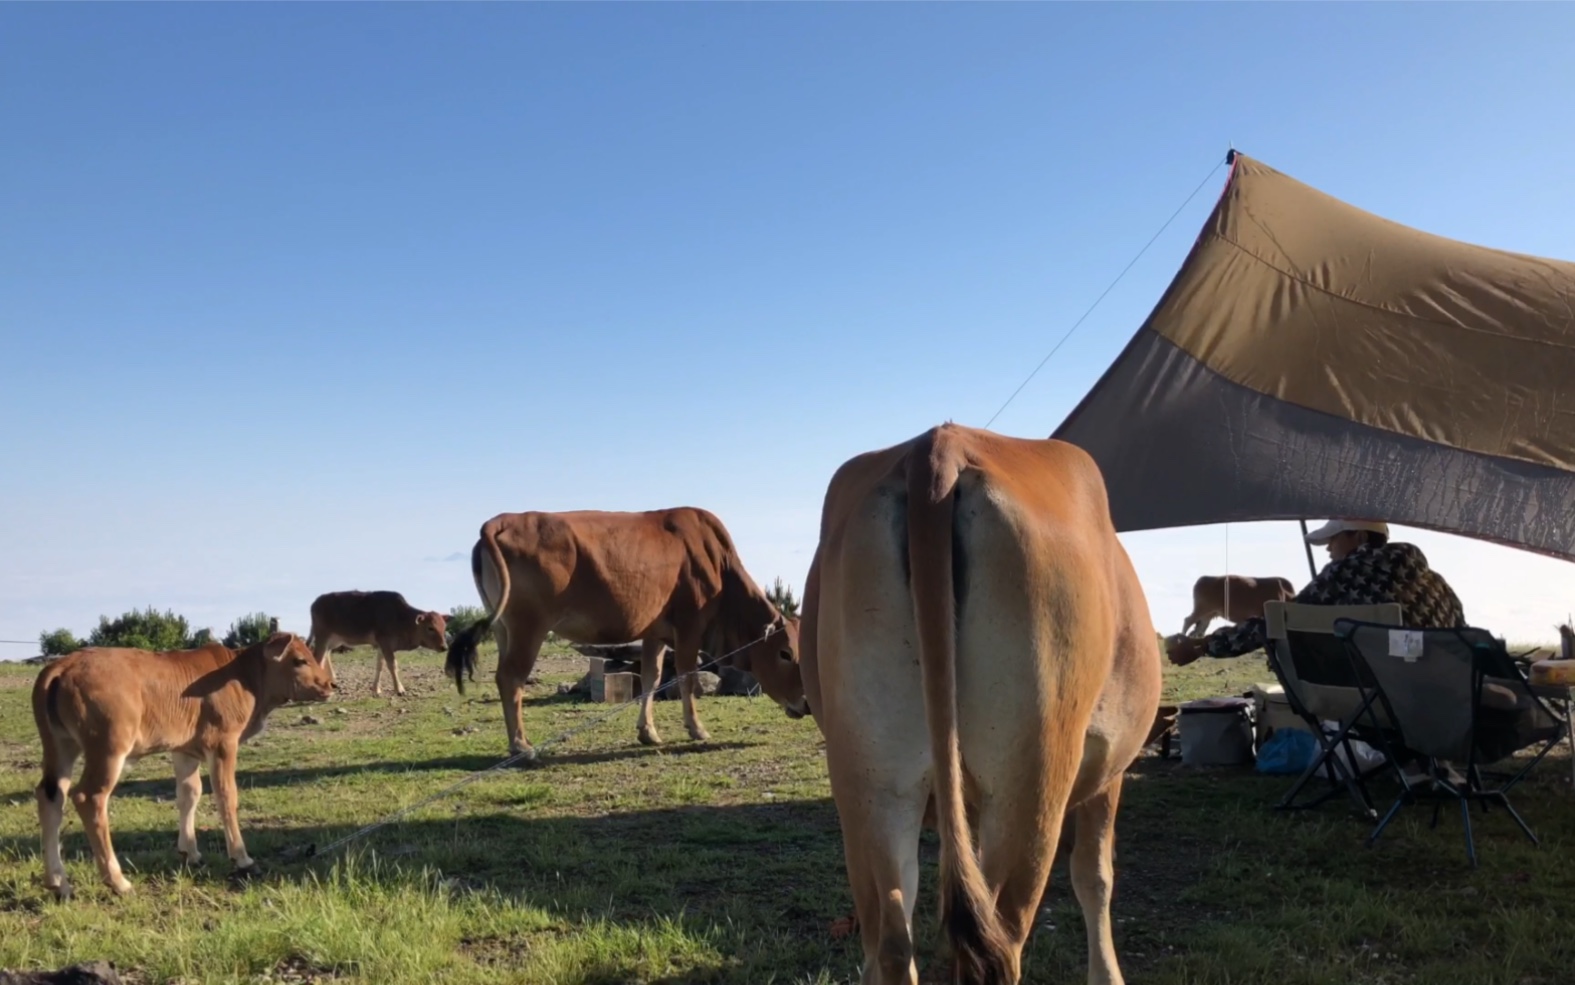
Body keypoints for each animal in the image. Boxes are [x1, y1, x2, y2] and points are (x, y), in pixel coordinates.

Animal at [32, 630, 332, 901]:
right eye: (300, 660)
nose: (330, 685)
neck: (244, 676)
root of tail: (64, 664)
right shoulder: (223, 742)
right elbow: (226, 796)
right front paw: (242, 858)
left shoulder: (184, 749)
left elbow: (189, 794)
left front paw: (190, 851)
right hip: (108, 747)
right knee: (89, 797)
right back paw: (118, 881)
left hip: (60, 746)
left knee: (50, 796)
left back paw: (58, 882)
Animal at [305, 586, 450, 696]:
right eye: (430, 628)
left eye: (444, 627)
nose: (444, 647)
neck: (400, 618)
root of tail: (314, 603)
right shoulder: (385, 642)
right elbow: (392, 665)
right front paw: (399, 689)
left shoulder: (381, 645)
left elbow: (379, 665)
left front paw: (376, 689)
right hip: (322, 636)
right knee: (318, 658)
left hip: (334, 640)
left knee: (326, 655)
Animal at [447, 510, 806, 756]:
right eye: (785, 653)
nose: (805, 703)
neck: (719, 565)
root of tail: (499, 522)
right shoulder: (689, 626)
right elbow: (686, 676)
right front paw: (697, 729)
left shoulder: (654, 633)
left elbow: (651, 677)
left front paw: (648, 732)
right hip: (529, 627)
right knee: (511, 678)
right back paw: (522, 745)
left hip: (504, 629)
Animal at [806, 422, 1165, 983]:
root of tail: (938, 449)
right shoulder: (1109, 769)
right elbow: (1096, 876)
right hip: (1032, 773)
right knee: (1000, 940)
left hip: (868, 777)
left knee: (891, 934)